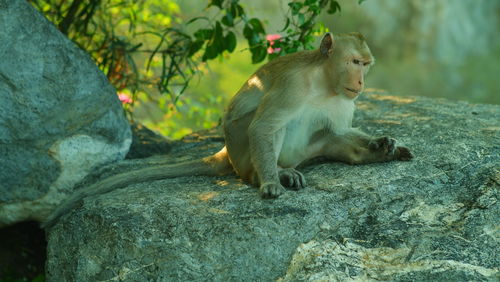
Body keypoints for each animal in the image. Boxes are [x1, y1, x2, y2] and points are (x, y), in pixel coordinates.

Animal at [41, 31, 412, 229]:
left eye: (366, 65)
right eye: (354, 62)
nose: (361, 82)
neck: (324, 82)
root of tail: (225, 153)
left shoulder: (344, 102)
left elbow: (339, 129)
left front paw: (383, 143)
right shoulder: (292, 86)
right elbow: (263, 127)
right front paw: (270, 183)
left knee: (326, 135)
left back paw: (373, 156)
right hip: (242, 151)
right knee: (262, 128)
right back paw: (277, 173)